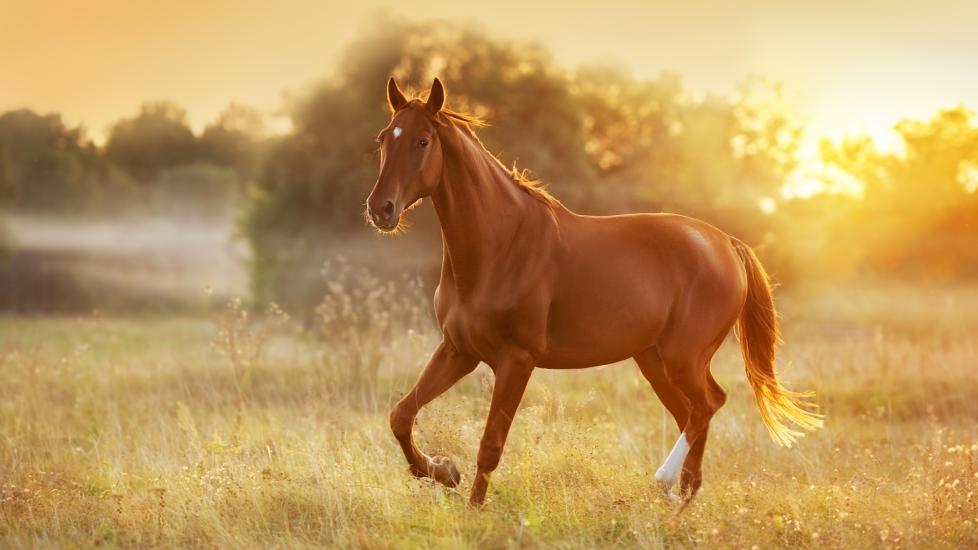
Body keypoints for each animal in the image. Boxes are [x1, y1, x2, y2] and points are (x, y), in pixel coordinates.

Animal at [366, 77, 822, 508]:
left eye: (423, 141)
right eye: (384, 137)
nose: (380, 209)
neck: (501, 245)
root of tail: (725, 243)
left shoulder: (517, 360)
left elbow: (490, 446)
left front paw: (473, 510)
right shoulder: (459, 351)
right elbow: (401, 415)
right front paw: (443, 471)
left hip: (683, 359)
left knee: (708, 405)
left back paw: (668, 483)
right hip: (654, 361)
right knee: (693, 416)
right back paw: (677, 498)